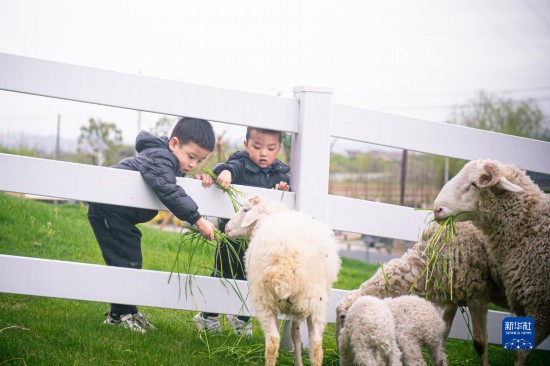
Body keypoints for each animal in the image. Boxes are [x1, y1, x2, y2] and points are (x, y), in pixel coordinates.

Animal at [224, 194, 340, 366]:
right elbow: (295, 335)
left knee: (273, 341)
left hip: (265, 300)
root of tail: (285, 264)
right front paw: (298, 362)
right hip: (314, 302)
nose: (226, 227)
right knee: (315, 346)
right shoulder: (299, 307)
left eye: (245, 210)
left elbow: (293, 334)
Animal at [334, 220, 506, 366]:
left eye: (343, 317)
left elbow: (480, 342)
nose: (338, 346)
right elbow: (443, 334)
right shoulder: (453, 296)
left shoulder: (477, 295)